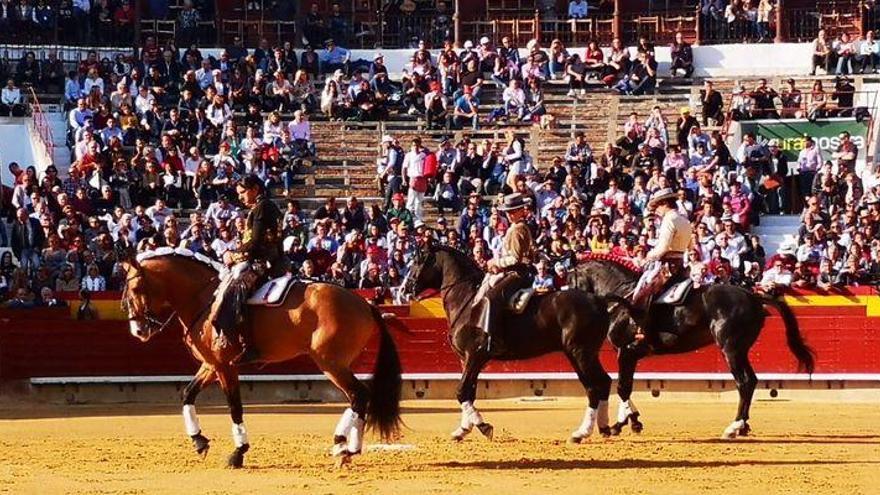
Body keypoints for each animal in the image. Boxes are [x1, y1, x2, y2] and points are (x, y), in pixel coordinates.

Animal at [117, 248, 402, 468]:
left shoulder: (225, 365)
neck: (204, 298)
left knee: (359, 394)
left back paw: (345, 447)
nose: (138, 330)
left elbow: (235, 406)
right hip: (335, 363)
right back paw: (345, 447)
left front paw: (237, 453)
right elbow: (187, 394)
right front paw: (199, 441)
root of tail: (365, 304)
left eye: (136, 287)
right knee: (358, 397)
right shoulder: (211, 364)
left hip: (330, 363)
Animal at [404, 246, 612, 444]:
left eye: (417, 261)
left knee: (594, 387)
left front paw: (483, 427)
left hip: (581, 352)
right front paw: (462, 430)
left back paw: (582, 433)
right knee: (602, 382)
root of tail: (599, 301)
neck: (467, 301)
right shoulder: (467, 359)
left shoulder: (475, 355)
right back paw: (604, 428)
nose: (406, 288)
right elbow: (469, 392)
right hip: (579, 354)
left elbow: (461, 391)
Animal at [568, 258, 816, 440]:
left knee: (744, 382)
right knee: (752, 381)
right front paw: (627, 421)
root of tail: (753, 296)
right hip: (741, 350)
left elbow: (622, 386)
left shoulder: (627, 351)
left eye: (569, 281)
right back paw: (743, 426)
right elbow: (624, 385)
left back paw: (733, 427)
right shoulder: (630, 354)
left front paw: (629, 422)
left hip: (731, 349)